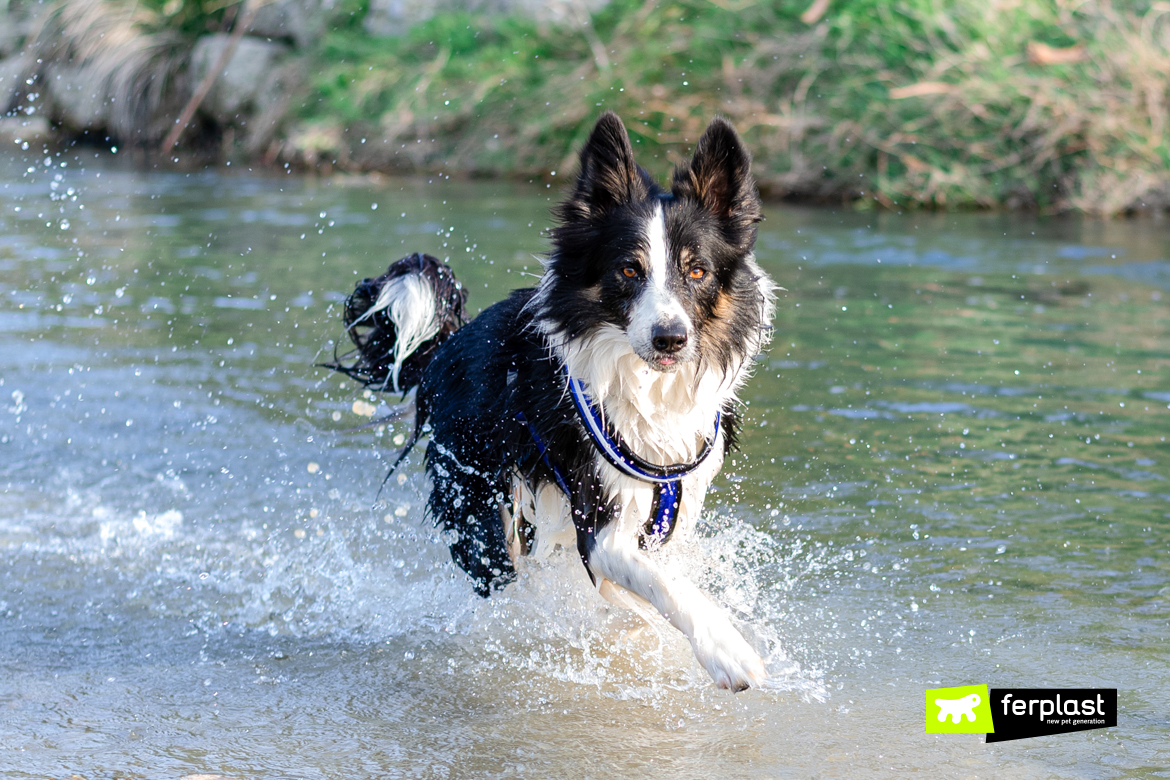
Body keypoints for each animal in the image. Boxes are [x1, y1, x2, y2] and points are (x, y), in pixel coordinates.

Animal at [334, 112, 776, 692]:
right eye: (629, 270)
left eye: (697, 271)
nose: (670, 339)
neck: (643, 388)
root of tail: (444, 348)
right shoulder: (600, 522)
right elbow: (666, 586)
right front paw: (726, 651)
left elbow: (659, 581)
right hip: (482, 507)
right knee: (505, 578)